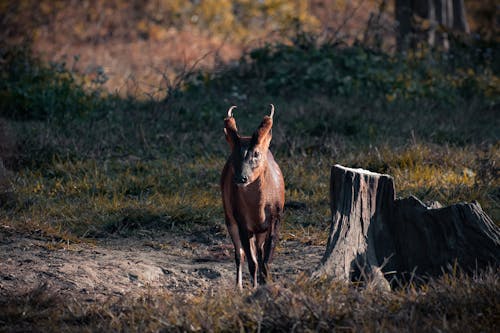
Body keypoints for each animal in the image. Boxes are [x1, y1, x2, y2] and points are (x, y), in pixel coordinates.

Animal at [220, 105, 284, 290]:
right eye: (233, 154)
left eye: (256, 153)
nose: (241, 178)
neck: (258, 208)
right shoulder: (241, 221)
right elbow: (251, 261)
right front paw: (253, 287)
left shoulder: (276, 218)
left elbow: (266, 260)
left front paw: (266, 283)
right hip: (229, 217)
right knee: (239, 254)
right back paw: (239, 286)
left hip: (260, 230)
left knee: (259, 252)